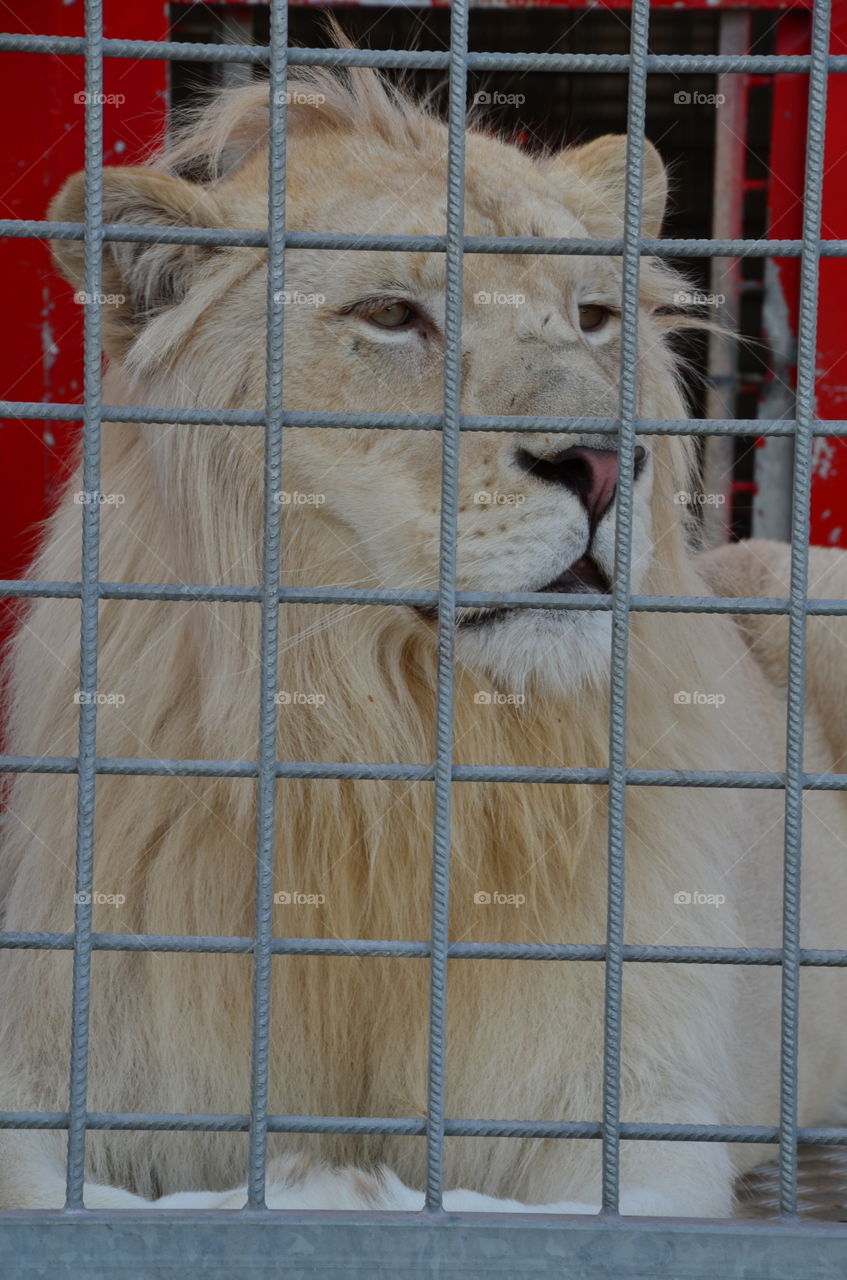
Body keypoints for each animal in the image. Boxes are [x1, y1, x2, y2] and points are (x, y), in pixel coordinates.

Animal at [1, 54, 846, 1217]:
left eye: (591, 315)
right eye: (391, 315)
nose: (603, 462)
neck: (382, 757)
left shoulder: (641, 1110)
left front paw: (333, 1190)